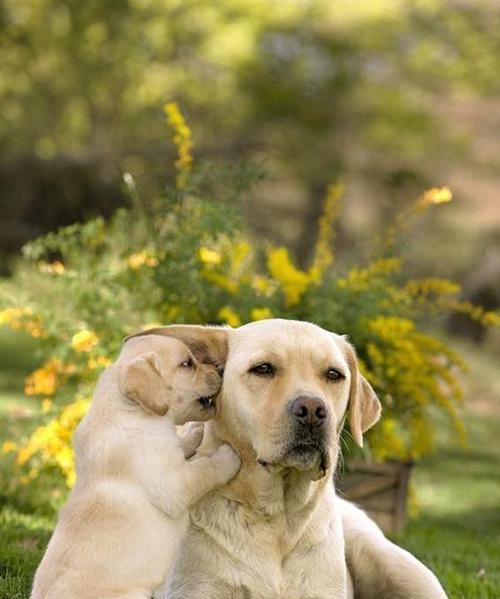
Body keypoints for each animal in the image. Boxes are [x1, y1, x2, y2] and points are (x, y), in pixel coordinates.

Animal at [30, 336, 241, 596]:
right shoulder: (174, 484)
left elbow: (180, 444)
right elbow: (206, 469)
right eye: (187, 364)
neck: (130, 411)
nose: (220, 369)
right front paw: (227, 456)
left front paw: (191, 432)